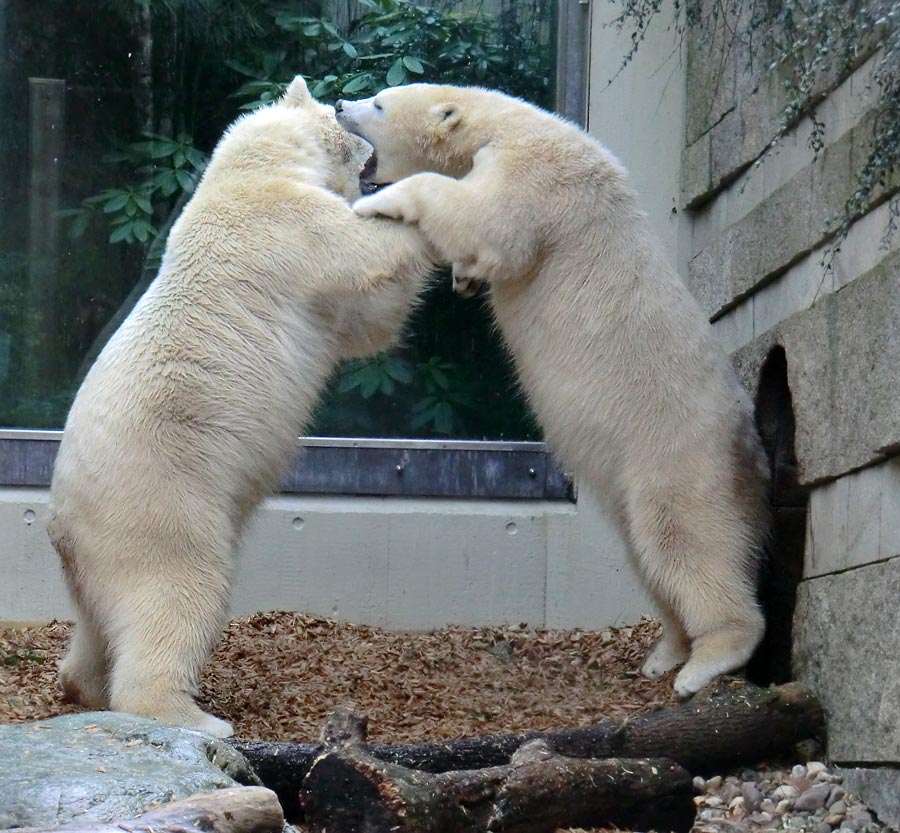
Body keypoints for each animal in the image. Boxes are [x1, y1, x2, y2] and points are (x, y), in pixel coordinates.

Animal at [48, 76, 436, 736]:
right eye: (339, 113)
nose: (345, 108)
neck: (247, 172)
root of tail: (63, 524)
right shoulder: (288, 225)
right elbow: (362, 252)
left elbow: (368, 327)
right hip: (162, 505)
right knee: (179, 593)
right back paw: (193, 717)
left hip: (98, 556)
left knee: (99, 623)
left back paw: (82, 684)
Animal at [338, 84, 772, 696]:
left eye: (378, 103)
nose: (338, 104)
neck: (505, 125)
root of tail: (751, 454)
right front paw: (464, 278)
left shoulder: (536, 180)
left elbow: (490, 223)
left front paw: (375, 204)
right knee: (647, 556)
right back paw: (664, 652)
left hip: (680, 457)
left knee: (686, 543)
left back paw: (706, 661)